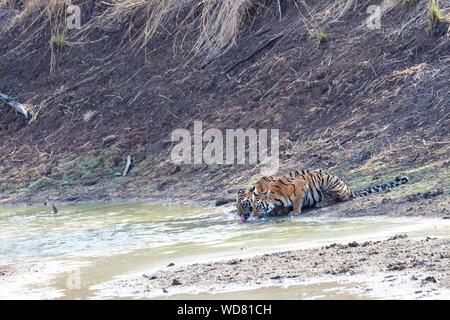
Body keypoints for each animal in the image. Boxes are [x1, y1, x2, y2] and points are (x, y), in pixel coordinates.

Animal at [237, 169, 410, 221]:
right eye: (237, 205)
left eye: (245, 204)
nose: (241, 215)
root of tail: (348, 187)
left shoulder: (300, 184)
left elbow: (297, 200)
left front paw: (294, 211)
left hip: (327, 181)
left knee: (339, 198)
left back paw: (321, 203)